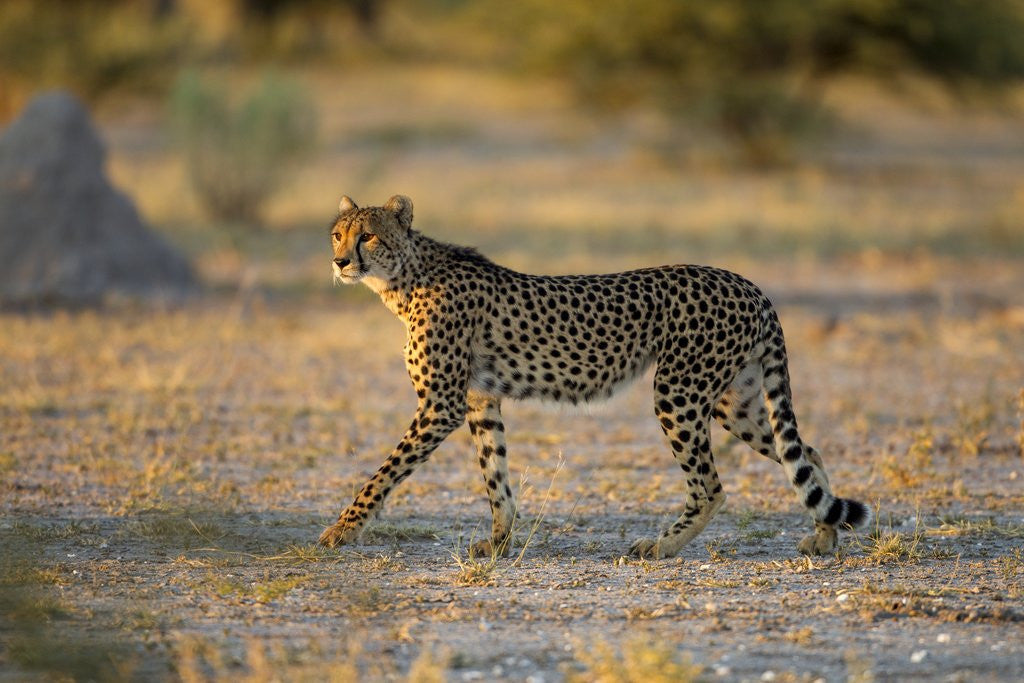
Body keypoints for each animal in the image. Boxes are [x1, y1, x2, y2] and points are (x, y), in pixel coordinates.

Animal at [318, 194, 872, 559]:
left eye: (368, 235)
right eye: (337, 233)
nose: (340, 261)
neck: (405, 278)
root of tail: (748, 283)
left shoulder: (440, 405)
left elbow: (383, 474)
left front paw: (342, 531)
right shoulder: (479, 401)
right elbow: (496, 477)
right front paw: (499, 542)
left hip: (678, 392)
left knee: (712, 487)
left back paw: (660, 546)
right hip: (734, 400)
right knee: (805, 452)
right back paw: (825, 536)